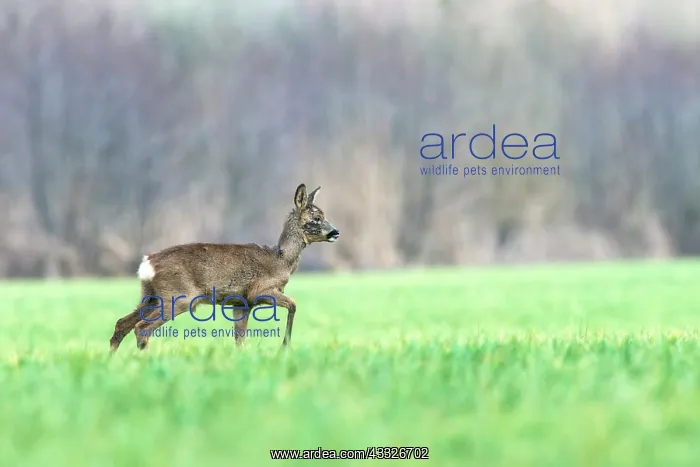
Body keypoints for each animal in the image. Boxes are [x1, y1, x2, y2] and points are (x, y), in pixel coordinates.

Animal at [109, 183, 340, 352]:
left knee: (122, 323)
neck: (282, 259)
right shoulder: (259, 290)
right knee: (142, 328)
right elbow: (293, 304)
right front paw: (285, 346)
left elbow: (239, 338)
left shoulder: (242, 303)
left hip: (150, 295)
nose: (336, 232)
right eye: (316, 218)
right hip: (178, 296)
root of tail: (148, 262)